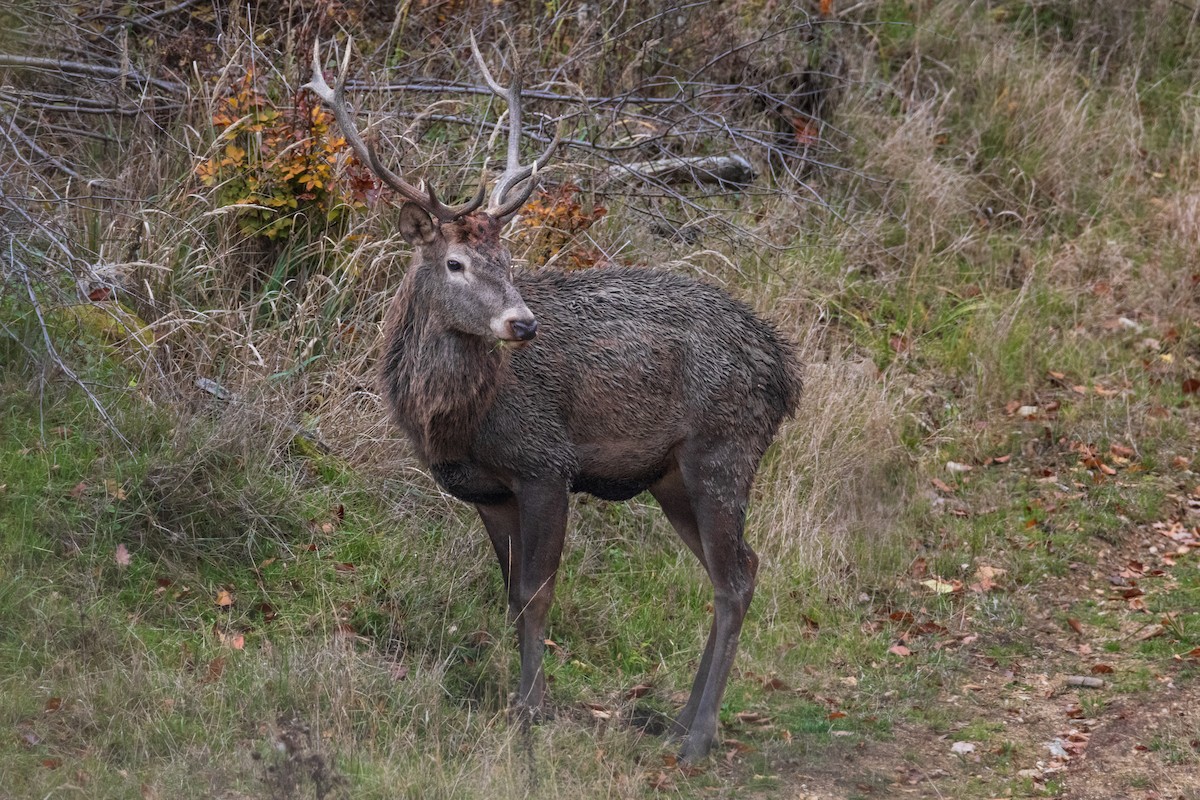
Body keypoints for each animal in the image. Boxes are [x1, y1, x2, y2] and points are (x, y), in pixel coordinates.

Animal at [304, 36, 801, 762]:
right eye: (455, 263)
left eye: (509, 261)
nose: (523, 323)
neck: (462, 424)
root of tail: (785, 371)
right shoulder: (488, 492)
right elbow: (512, 597)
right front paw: (520, 700)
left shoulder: (545, 463)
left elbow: (538, 595)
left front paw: (532, 710)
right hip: (673, 477)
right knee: (738, 568)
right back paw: (679, 718)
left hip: (723, 448)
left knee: (734, 577)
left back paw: (697, 735)